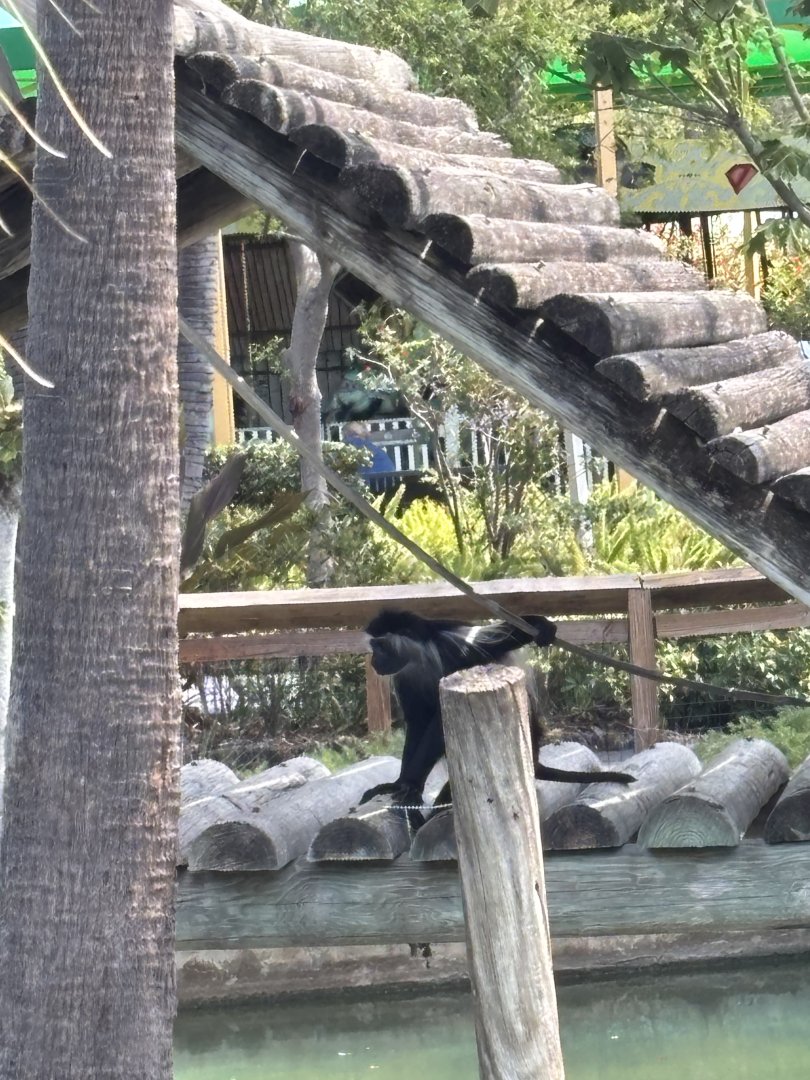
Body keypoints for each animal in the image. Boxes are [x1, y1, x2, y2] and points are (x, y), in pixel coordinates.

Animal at [359, 609, 635, 809]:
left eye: (380, 646)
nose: (373, 662)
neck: (419, 657)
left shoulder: (456, 647)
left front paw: (543, 626)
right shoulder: (405, 677)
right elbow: (417, 722)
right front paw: (402, 783)